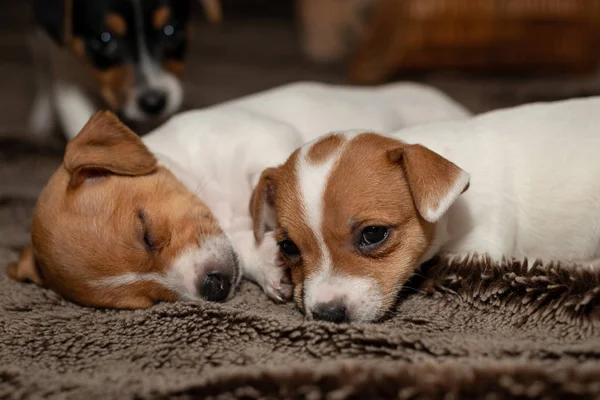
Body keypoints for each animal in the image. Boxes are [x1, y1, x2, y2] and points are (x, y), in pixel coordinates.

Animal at [7, 81, 472, 310]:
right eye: (147, 301)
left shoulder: (266, 143)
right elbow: (251, 237)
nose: (212, 288)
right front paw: (269, 267)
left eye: (146, 231)